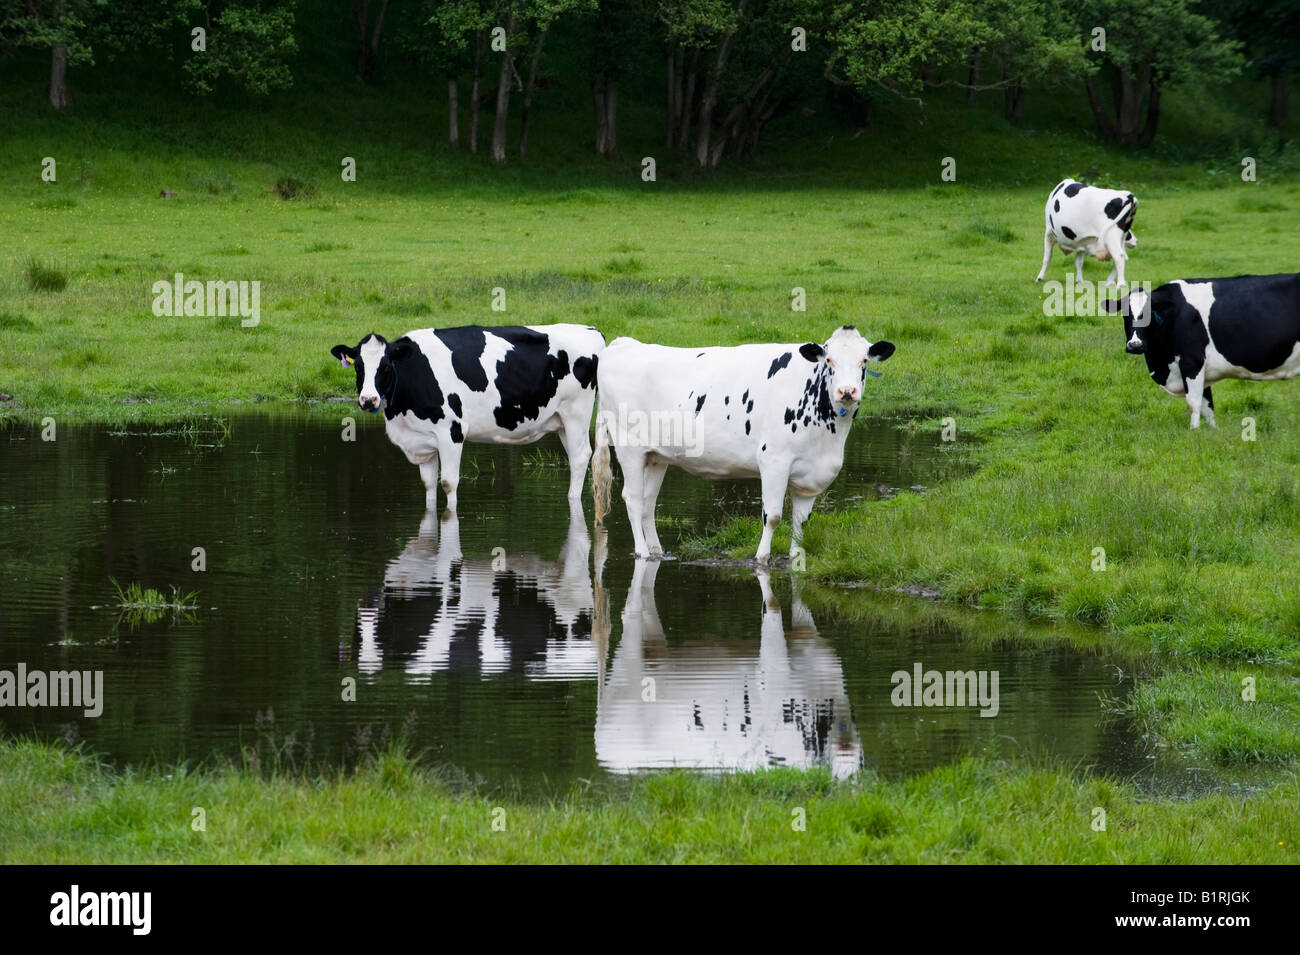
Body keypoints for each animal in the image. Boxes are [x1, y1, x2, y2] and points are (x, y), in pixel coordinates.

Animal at [330, 324, 603, 511]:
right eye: (358, 367)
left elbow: (449, 483)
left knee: (580, 457)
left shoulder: (452, 431)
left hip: (576, 413)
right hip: (561, 422)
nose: (368, 400)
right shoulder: (422, 440)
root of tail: (589, 330)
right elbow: (429, 484)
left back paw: (572, 499)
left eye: (385, 367)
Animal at [595, 328, 894, 566]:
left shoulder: (811, 475)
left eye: (863, 361)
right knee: (633, 499)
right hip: (629, 448)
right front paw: (762, 558)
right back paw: (643, 552)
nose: (847, 391)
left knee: (647, 502)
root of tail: (625, 344)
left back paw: (657, 551)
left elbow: (801, 520)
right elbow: (773, 516)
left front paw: (796, 556)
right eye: (830, 360)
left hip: (656, 456)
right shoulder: (773, 461)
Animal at [1102, 272, 1300, 428]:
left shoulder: (1192, 362)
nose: (1135, 345)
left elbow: (1194, 403)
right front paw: (1212, 433)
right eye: (1125, 315)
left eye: (1150, 314)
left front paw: (1194, 432)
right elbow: (1208, 408)